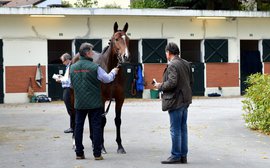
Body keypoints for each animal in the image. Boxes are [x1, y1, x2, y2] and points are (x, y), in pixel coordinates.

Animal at [71, 21, 130, 154]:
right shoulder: (102, 99)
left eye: (128, 39)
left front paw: (120, 146)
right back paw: (75, 143)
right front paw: (102, 147)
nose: (125, 56)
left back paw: (93, 141)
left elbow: (117, 120)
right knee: (76, 115)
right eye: (116, 39)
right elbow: (102, 121)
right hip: (76, 96)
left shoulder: (120, 99)